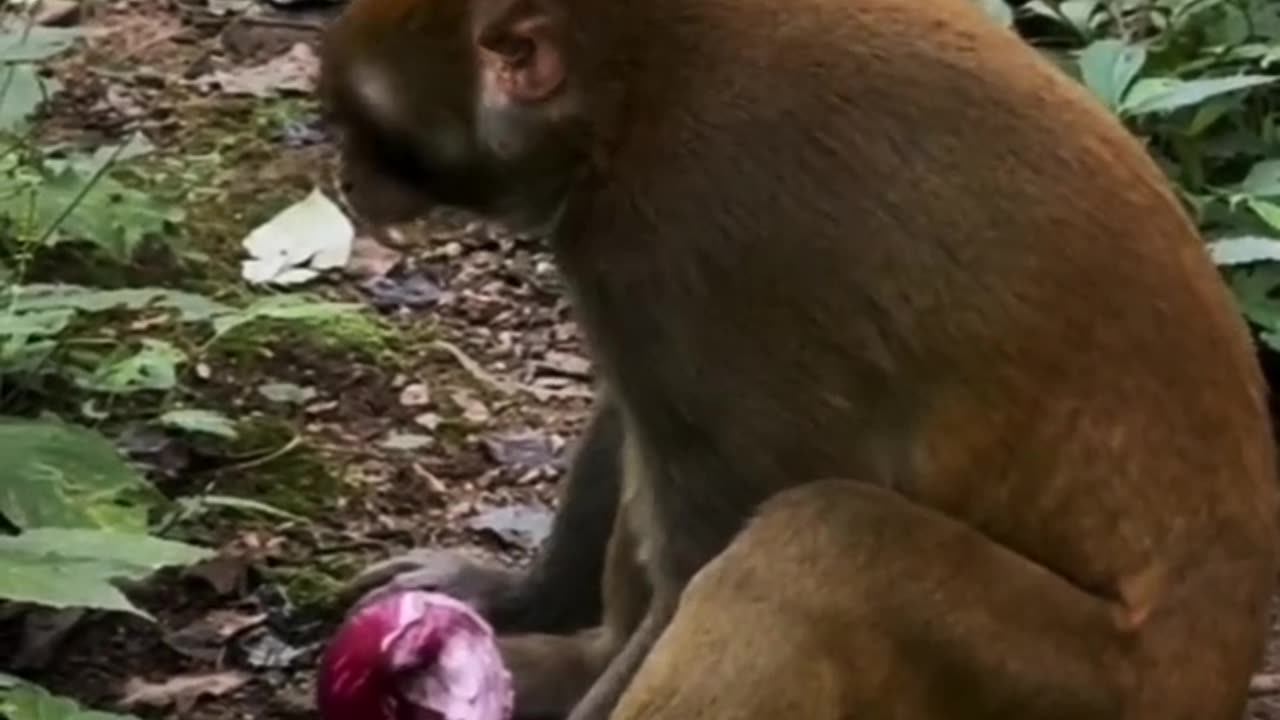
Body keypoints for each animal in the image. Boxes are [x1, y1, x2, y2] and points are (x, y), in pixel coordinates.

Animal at [319, 0, 1280, 718]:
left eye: (373, 126)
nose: (346, 177)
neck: (639, 83)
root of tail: (1222, 671)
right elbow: (631, 412)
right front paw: (524, 593)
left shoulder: (678, 237)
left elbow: (704, 549)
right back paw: (575, 658)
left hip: (1086, 689)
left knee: (820, 543)